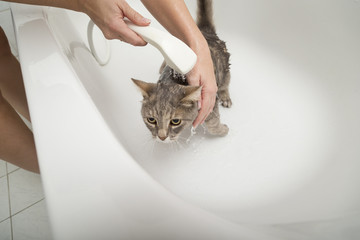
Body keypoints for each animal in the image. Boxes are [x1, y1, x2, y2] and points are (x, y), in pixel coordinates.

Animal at [132, 0, 231, 142]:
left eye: (175, 121)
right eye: (151, 120)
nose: (162, 137)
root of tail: (204, 32)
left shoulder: (209, 105)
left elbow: (213, 124)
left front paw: (223, 130)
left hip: (224, 70)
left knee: (225, 84)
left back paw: (225, 97)